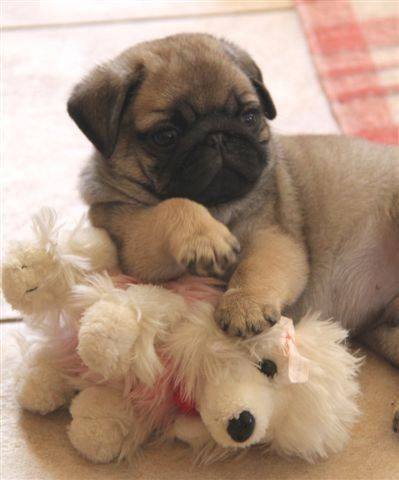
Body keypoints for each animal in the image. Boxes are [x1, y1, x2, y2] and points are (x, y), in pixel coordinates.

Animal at [69, 35, 399, 378]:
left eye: (249, 117)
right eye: (166, 136)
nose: (217, 135)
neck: (218, 208)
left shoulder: (272, 237)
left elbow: (253, 267)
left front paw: (243, 303)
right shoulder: (134, 243)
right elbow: (175, 205)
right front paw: (204, 238)